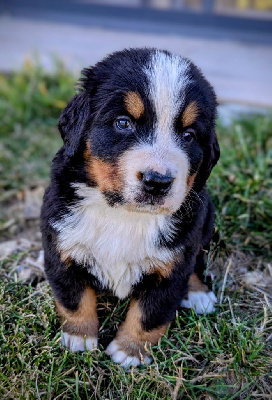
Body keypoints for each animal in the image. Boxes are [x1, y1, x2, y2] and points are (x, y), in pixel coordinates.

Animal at [41, 48, 220, 368]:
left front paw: (130, 351)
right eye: (123, 123)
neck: (123, 215)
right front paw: (79, 338)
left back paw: (199, 293)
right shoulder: (61, 246)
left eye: (188, 135)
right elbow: (74, 298)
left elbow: (150, 314)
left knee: (199, 259)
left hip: (205, 219)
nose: (157, 181)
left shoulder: (172, 267)